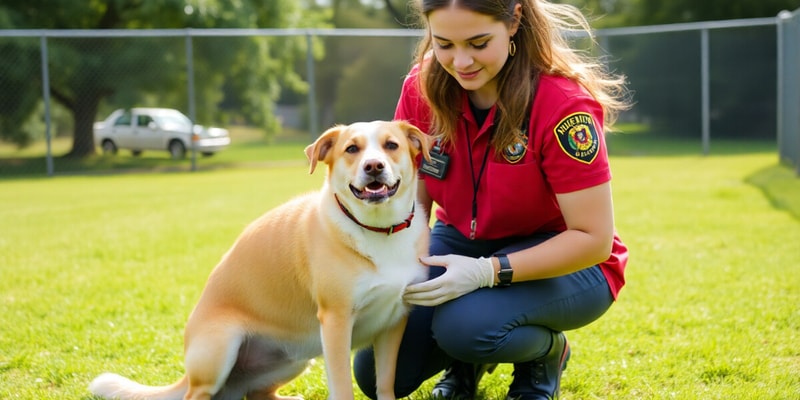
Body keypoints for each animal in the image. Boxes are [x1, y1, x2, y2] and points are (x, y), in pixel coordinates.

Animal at [89, 120, 432, 400]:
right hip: (221, 347)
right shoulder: (336, 321)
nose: (373, 166)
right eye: (352, 149)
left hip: (297, 357)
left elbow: (385, 383)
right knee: (197, 395)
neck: (378, 229)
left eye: (391, 145)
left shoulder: (393, 322)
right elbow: (342, 387)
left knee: (255, 394)